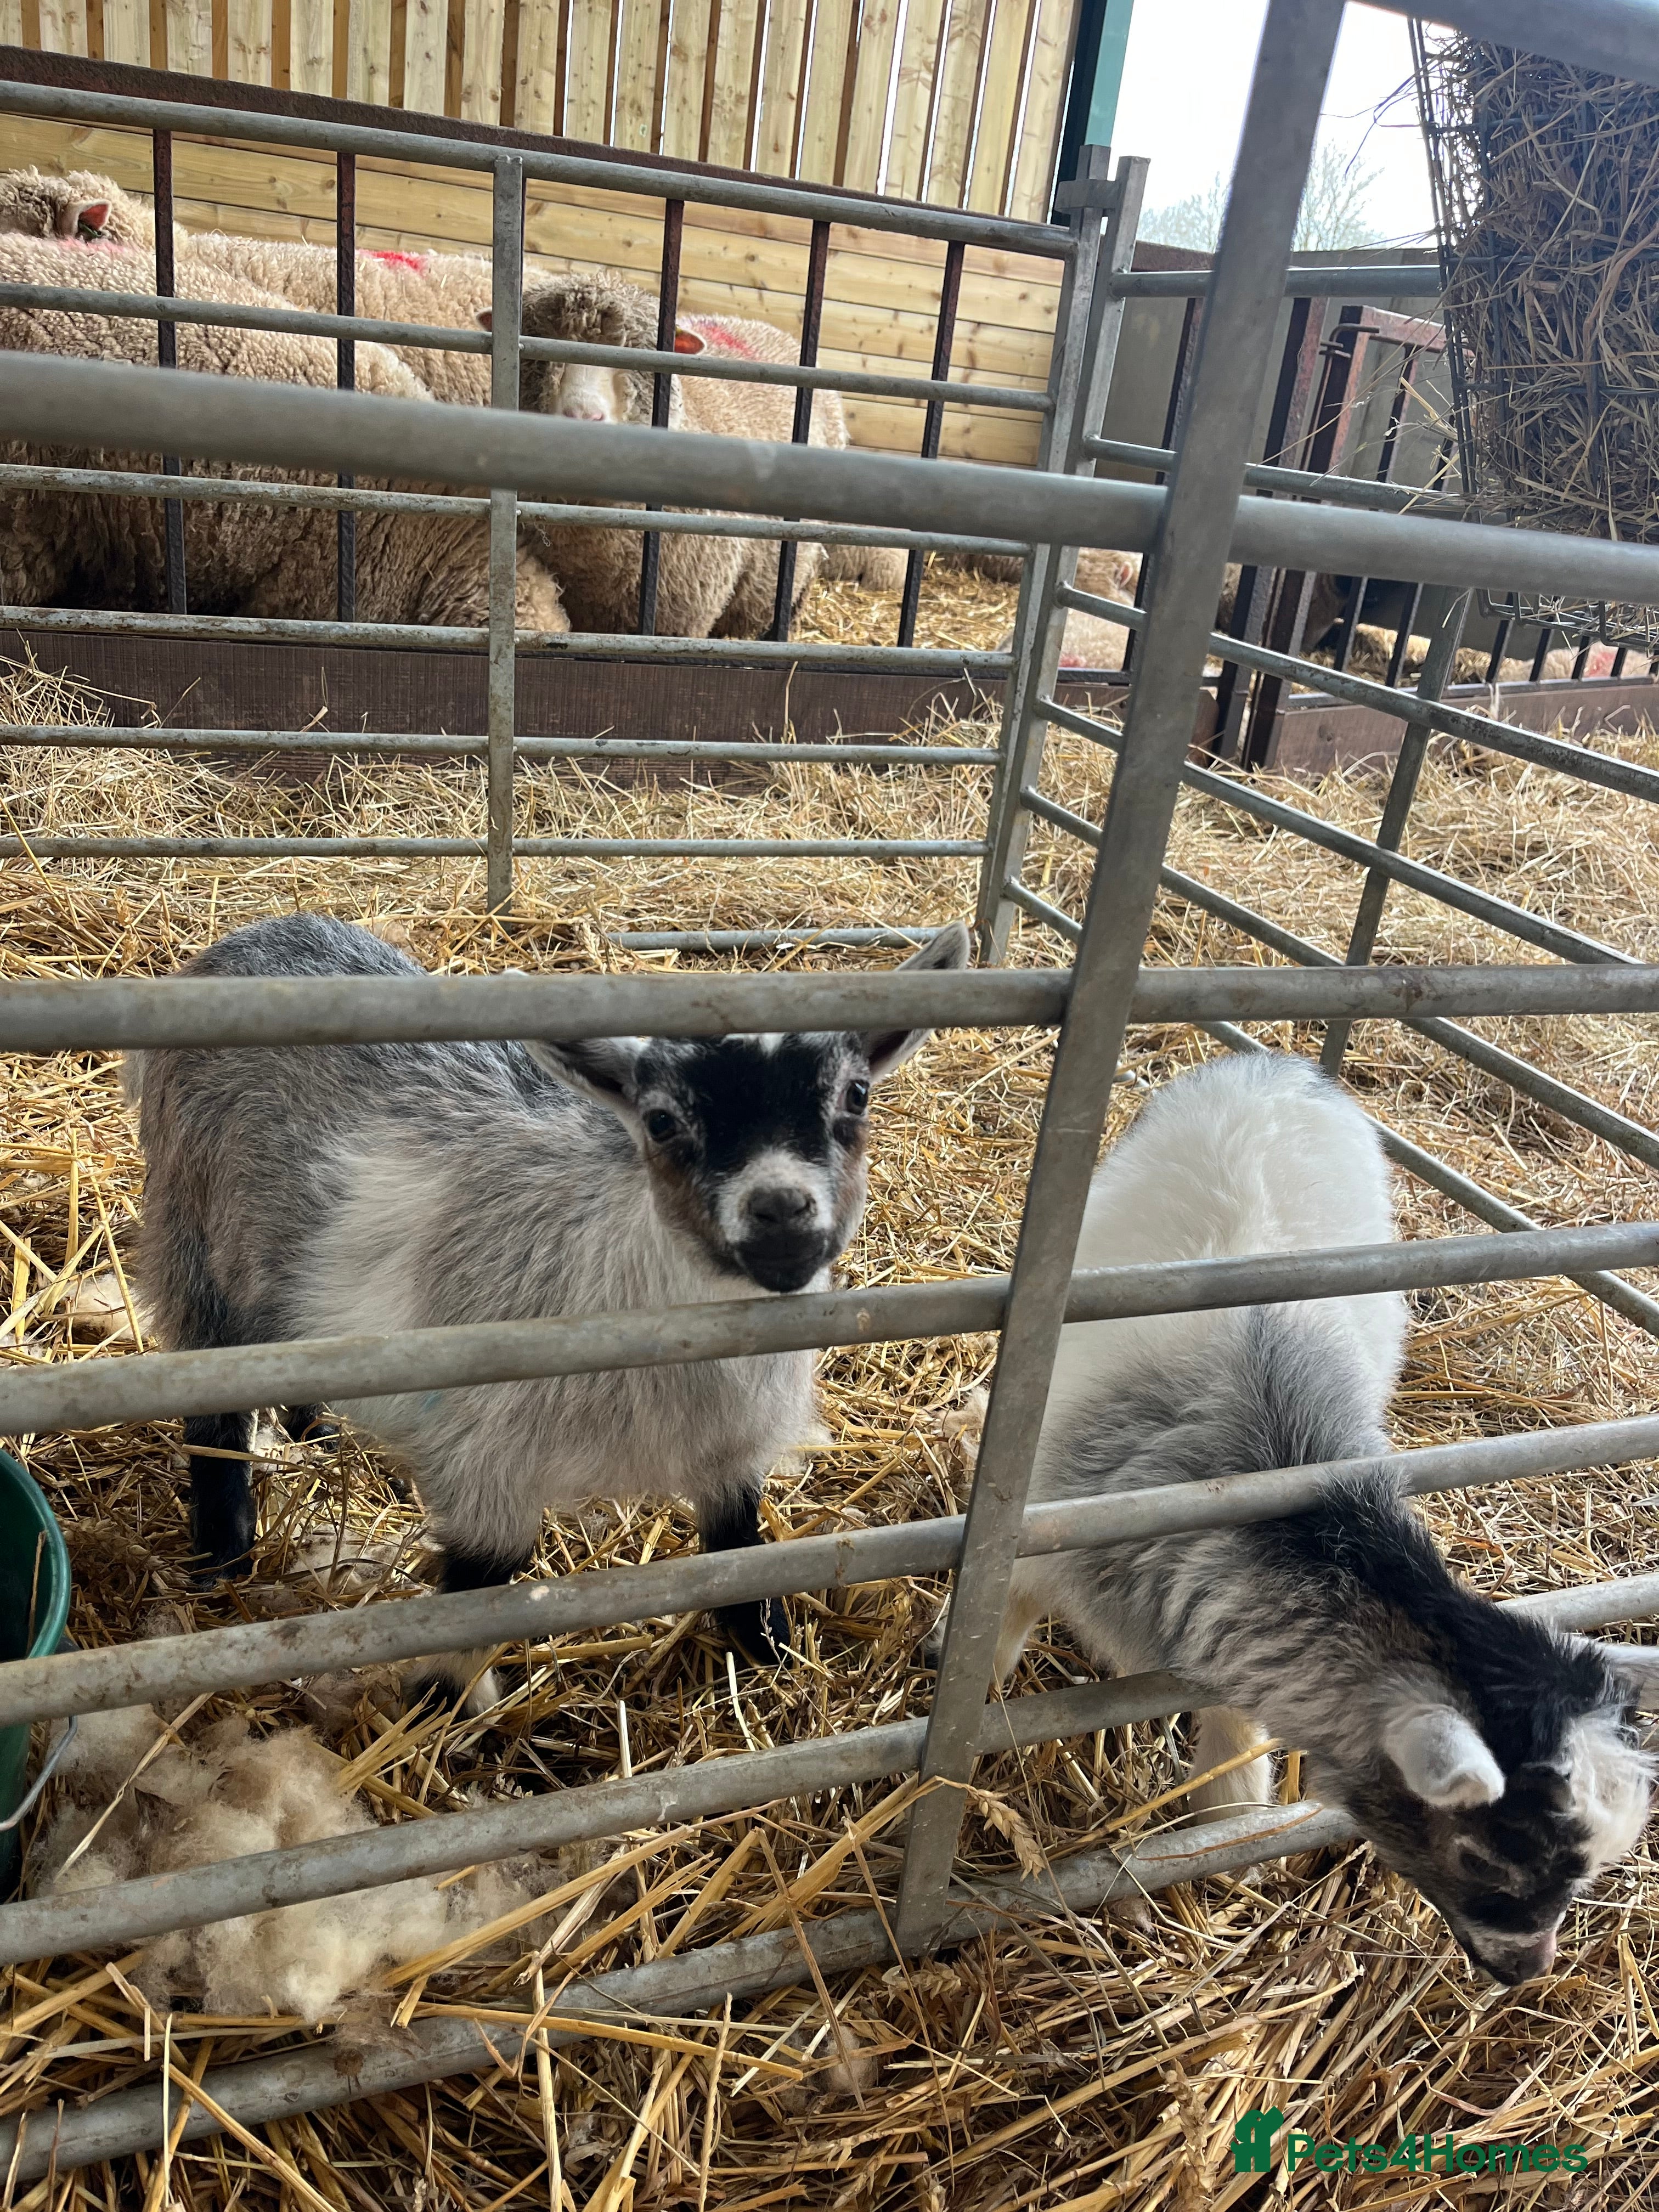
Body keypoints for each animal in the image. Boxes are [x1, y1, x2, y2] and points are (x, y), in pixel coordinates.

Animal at [127, 914, 970, 1704]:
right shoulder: (486, 1458)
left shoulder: (731, 1450)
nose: (782, 1212)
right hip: (190, 1227)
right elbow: (483, 1581)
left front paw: (769, 1646)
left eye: (856, 1095)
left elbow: (737, 1546)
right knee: (212, 1392)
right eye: (661, 1121)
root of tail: (260, 935)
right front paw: (435, 1702)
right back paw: (223, 1550)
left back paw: (316, 1429)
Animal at [948, 1053, 1655, 1983]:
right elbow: (995, 1634)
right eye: (1484, 1854)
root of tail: (1275, 1062)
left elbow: (1232, 1736)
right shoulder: (1040, 1535)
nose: (1526, 1971)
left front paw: (1224, 1829)